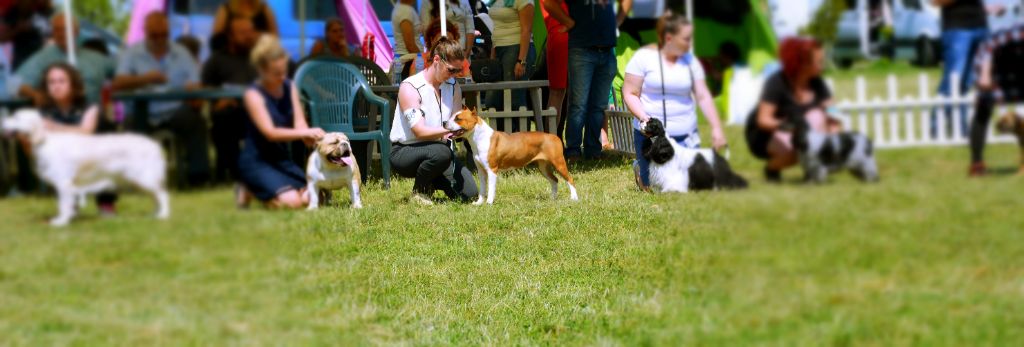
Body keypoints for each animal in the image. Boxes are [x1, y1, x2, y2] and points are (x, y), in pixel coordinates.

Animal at [2, 109, 169, 228]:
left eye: (16, 117)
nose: (2, 121)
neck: (43, 141)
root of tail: (155, 145)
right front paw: (68, 218)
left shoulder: (64, 183)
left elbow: (63, 205)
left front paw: (60, 222)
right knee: (156, 197)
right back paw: (155, 215)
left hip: (144, 178)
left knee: (163, 196)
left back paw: (163, 216)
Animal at [444, 105, 581, 203]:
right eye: (452, 116)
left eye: (458, 118)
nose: (444, 122)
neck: (479, 137)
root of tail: (553, 136)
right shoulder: (481, 171)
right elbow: (482, 189)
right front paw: (479, 203)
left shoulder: (492, 170)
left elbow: (491, 188)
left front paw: (489, 203)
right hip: (543, 167)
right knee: (554, 180)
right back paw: (553, 198)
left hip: (559, 163)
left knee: (570, 179)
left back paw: (574, 198)